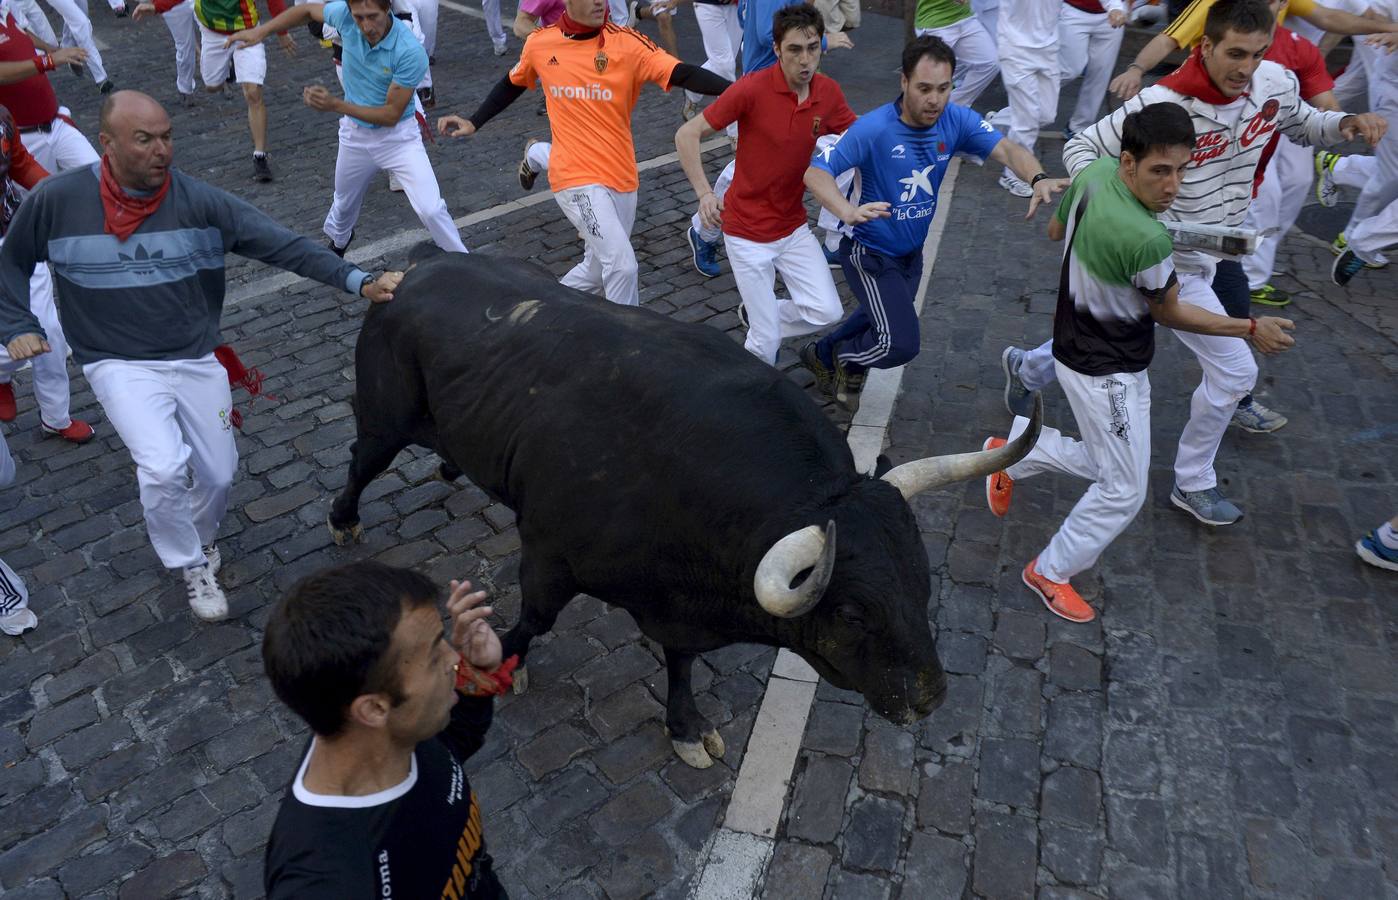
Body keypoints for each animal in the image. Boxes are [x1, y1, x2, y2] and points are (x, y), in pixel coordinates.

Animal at [327, 251, 1040, 765]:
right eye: (852, 613)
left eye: (922, 580)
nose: (929, 697)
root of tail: (414, 272)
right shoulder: (549, 552)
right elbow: (535, 617)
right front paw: (503, 661)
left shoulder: (679, 609)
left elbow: (680, 662)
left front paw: (687, 727)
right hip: (387, 415)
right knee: (362, 458)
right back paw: (343, 519)